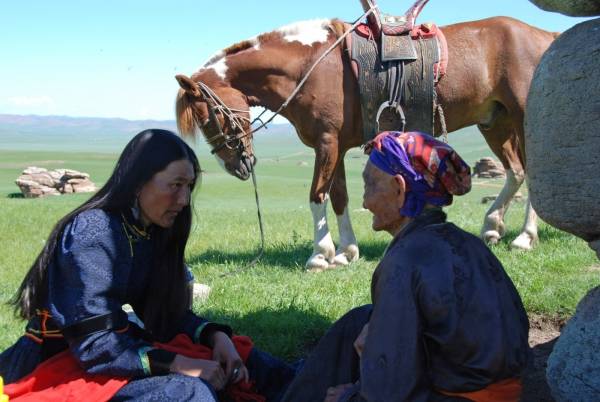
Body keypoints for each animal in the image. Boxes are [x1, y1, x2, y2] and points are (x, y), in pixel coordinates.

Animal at [176, 14, 556, 270]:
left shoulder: (327, 143)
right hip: (495, 122)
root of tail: (544, 34)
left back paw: (525, 237)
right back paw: (492, 227)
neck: (309, 66)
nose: (237, 166)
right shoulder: (336, 146)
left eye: (209, 117)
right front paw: (346, 252)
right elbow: (340, 198)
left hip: (523, 117)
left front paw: (320, 255)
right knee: (516, 172)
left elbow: (316, 196)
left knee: (533, 174)